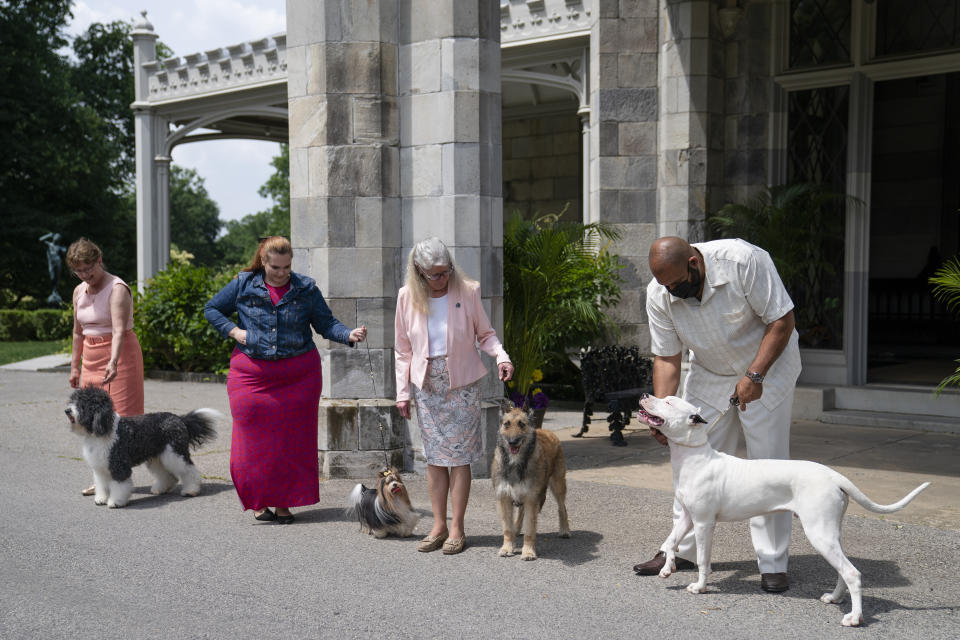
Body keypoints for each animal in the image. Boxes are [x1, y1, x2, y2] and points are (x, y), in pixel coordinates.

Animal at [65, 384, 219, 510]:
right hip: (157, 457)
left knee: (189, 471)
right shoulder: (101, 467)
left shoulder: (118, 464)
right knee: (168, 475)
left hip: (174, 453)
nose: (67, 410)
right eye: (73, 400)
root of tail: (179, 419)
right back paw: (161, 489)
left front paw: (116, 502)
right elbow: (102, 484)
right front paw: (101, 499)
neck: (104, 430)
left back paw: (191, 490)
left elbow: (119, 485)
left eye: (83, 404)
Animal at [492, 404, 568, 560]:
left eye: (522, 424)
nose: (512, 442)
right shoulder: (504, 498)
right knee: (521, 512)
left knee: (562, 507)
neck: (515, 463)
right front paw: (507, 547)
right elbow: (507, 529)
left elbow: (530, 529)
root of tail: (547, 431)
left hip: (558, 485)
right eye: (506, 424)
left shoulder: (532, 499)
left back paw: (564, 530)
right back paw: (516, 529)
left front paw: (528, 551)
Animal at [636, 392, 928, 628]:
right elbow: (670, 541)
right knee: (842, 570)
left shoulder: (703, 523)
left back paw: (854, 618)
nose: (645, 394)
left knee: (853, 573)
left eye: (669, 403)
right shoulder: (687, 517)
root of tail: (834, 475)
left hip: (819, 533)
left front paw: (699, 587)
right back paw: (834, 598)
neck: (694, 456)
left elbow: (703, 560)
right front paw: (667, 567)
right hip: (830, 533)